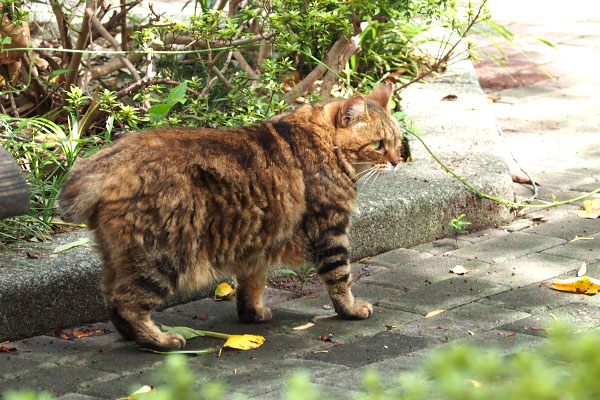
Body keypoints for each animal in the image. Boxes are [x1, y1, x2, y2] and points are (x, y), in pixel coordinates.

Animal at [59, 83, 408, 348]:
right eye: (378, 144)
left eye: (396, 141)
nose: (397, 161)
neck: (324, 141)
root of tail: (101, 161)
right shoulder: (330, 230)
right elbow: (340, 278)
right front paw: (350, 309)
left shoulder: (258, 242)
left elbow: (252, 285)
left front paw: (253, 314)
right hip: (163, 256)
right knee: (126, 304)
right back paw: (159, 340)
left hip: (119, 257)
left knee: (111, 298)